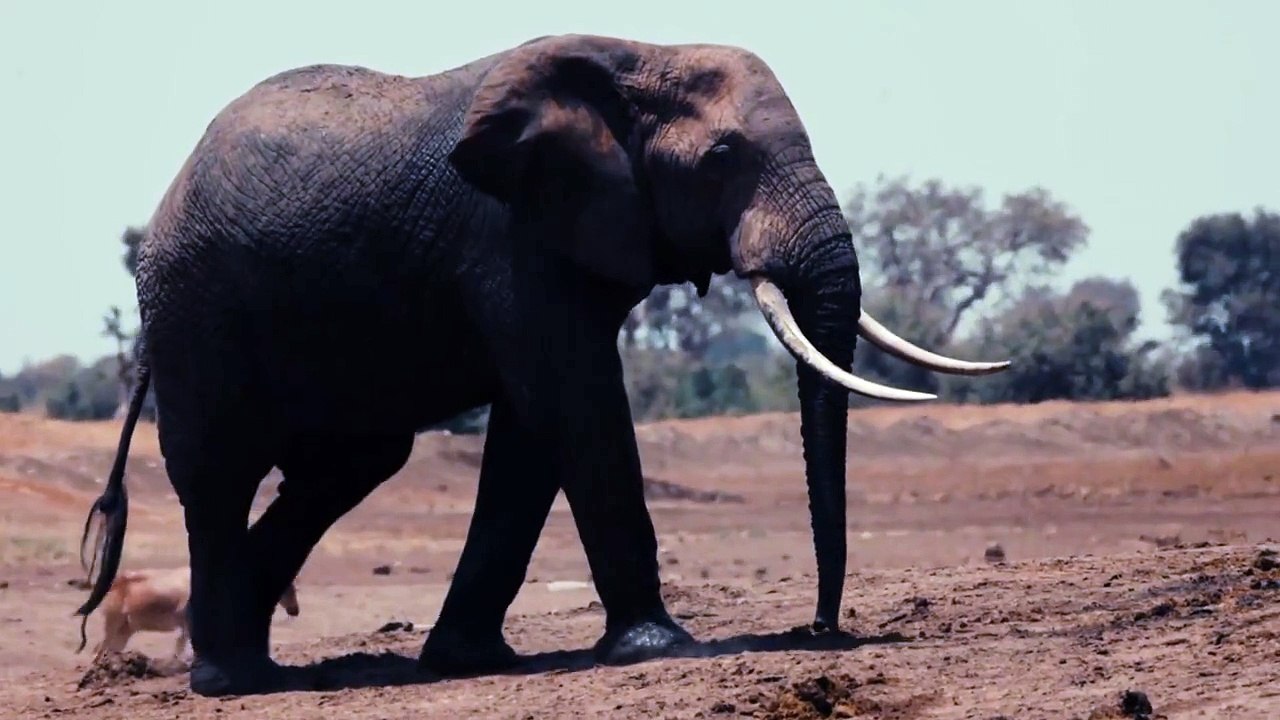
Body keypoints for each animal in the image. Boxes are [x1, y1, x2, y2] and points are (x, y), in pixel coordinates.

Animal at [73, 34, 1009, 697]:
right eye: (721, 160)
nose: (820, 631)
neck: (639, 53)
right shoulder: (511, 238)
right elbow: (575, 401)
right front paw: (658, 648)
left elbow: (532, 435)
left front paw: (469, 661)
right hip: (197, 312)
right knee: (221, 476)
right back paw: (229, 682)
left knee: (353, 464)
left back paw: (261, 668)